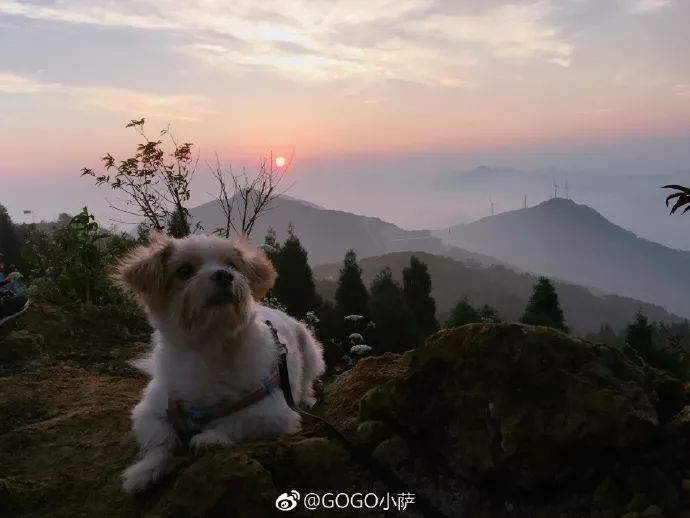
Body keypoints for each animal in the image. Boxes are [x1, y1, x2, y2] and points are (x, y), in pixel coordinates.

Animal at [115, 235, 322, 496]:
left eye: (232, 265)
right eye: (184, 270)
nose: (224, 275)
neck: (210, 346)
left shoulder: (272, 410)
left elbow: (237, 420)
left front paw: (211, 437)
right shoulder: (152, 410)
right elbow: (160, 439)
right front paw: (144, 469)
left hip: (310, 350)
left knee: (307, 381)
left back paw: (306, 398)